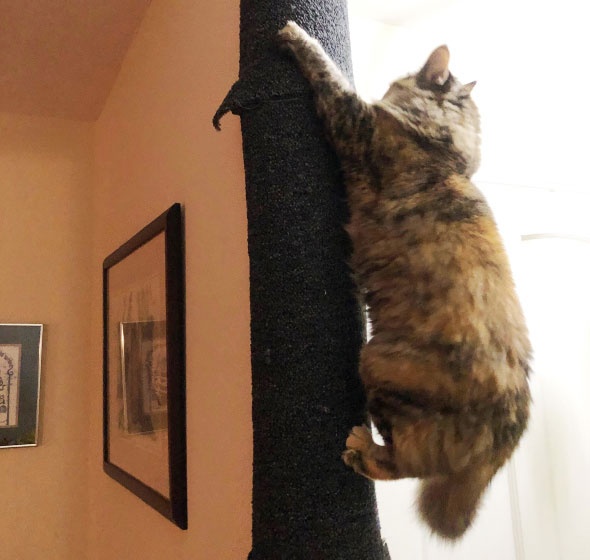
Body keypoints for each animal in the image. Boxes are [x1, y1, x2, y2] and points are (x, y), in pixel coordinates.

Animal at [280, 19, 536, 540]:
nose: (388, 85)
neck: (449, 155)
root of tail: (513, 422)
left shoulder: (355, 122)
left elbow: (327, 72)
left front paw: (295, 33)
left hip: (377, 363)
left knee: (406, 464)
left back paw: (362, 449)